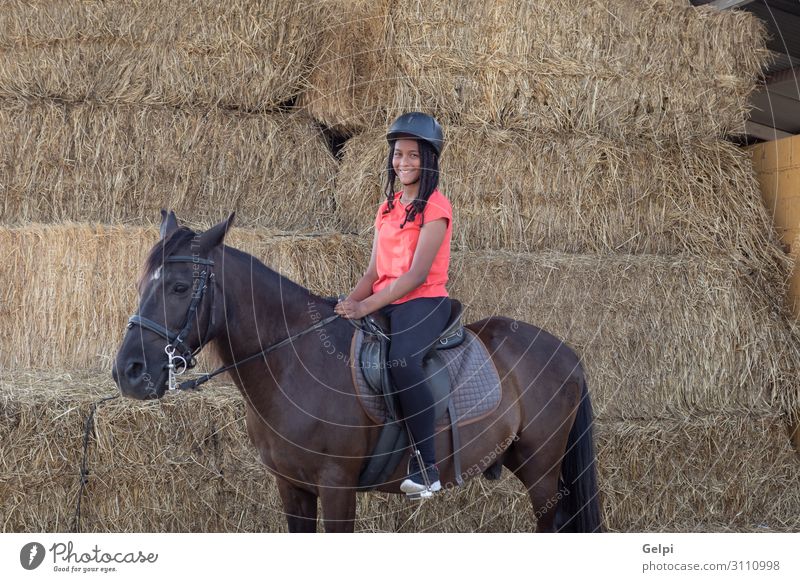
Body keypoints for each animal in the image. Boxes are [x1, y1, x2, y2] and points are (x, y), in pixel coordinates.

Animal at [111, 213, 600, 532]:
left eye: (179, 287)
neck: (292, 361)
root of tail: (566, 354)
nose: (129, 372)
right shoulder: (292, 486)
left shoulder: (337, 486)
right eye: (139, 285)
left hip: (542, 469)